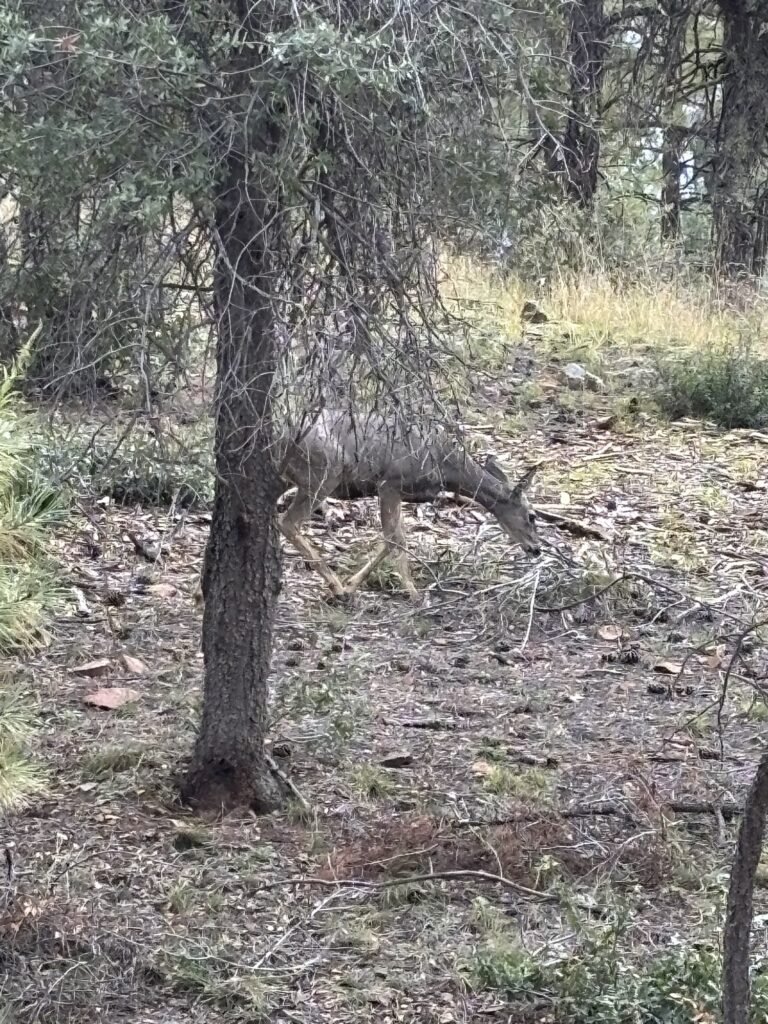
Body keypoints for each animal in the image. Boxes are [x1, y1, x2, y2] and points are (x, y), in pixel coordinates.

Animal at [276, 408, 541, 598]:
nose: (536, 548)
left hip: (292, 476)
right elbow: (396, 539)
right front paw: (414, 594)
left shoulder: (397, 493)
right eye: (532, 516)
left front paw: (353, 584)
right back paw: (336, 587)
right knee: (287, 522)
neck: (448, 468)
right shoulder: (390, 483)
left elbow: (394, 538)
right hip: (323, 474)